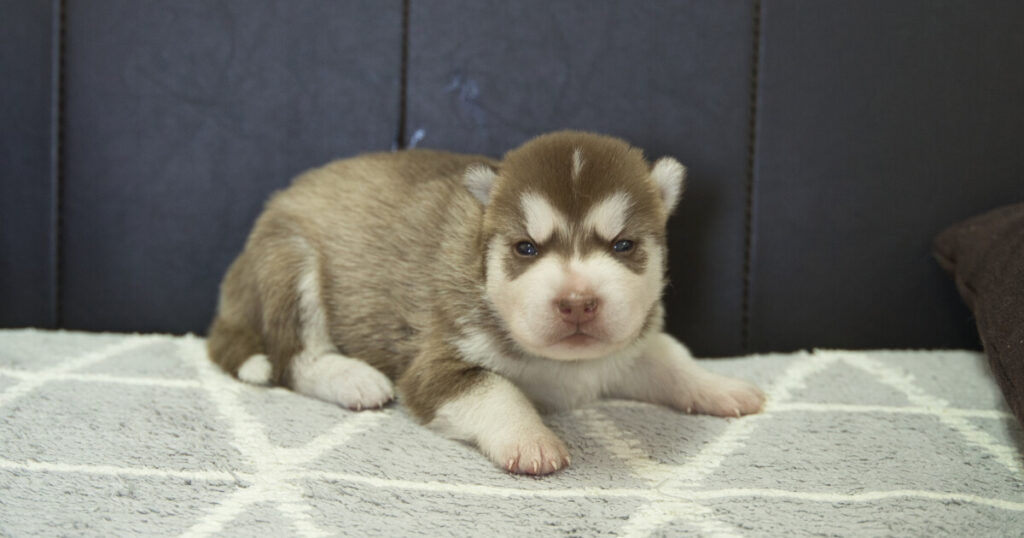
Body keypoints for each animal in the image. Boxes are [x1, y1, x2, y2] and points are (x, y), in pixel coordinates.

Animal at [207, 130, 765, 473]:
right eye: (526, 248)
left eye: (623, 245)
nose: (577, 302)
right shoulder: (437, 362)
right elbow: (496, 389)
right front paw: (530, 439)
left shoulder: (630, 345)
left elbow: (672, 357)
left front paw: (720, 387)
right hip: (291, 259)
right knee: (292, 357)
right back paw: (351, 378)